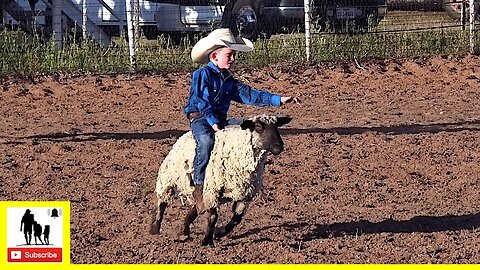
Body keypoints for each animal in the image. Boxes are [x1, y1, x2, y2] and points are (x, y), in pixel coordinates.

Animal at [150, 115, 292, 246]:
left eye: (277, 126)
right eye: (258, 126)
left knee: (197, 207)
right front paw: (207, 242)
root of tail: (183, 137)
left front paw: (218, 232)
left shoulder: (245, 195)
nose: (279, 146)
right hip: (168, 178)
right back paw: (155, 228)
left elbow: (236, 219)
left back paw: (184, 231)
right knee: (162, 201)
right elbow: (213, 217)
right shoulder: (213, 190)